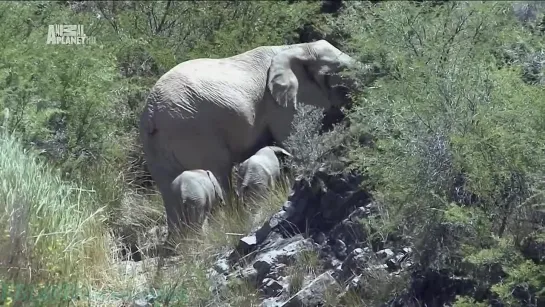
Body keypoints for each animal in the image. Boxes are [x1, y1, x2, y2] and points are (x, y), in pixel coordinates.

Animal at [139, 39, 356, 233]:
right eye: (335, 74)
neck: (296, 47)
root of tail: (151, 113)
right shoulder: (278, 103)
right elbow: (290, 138)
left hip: (155, 147)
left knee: (169, 192)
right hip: (193, 129)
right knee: (219, 170)